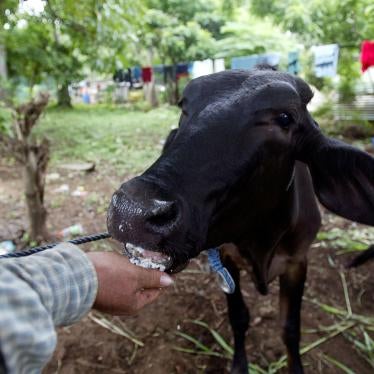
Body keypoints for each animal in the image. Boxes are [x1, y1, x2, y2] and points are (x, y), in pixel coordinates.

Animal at [106, 65, 374, 372]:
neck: (261, 239)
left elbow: (290, 328)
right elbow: (239, 317)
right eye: (185, 106)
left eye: (284, 118)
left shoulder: (297, 262)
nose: (133, 210)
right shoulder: (227, 256)